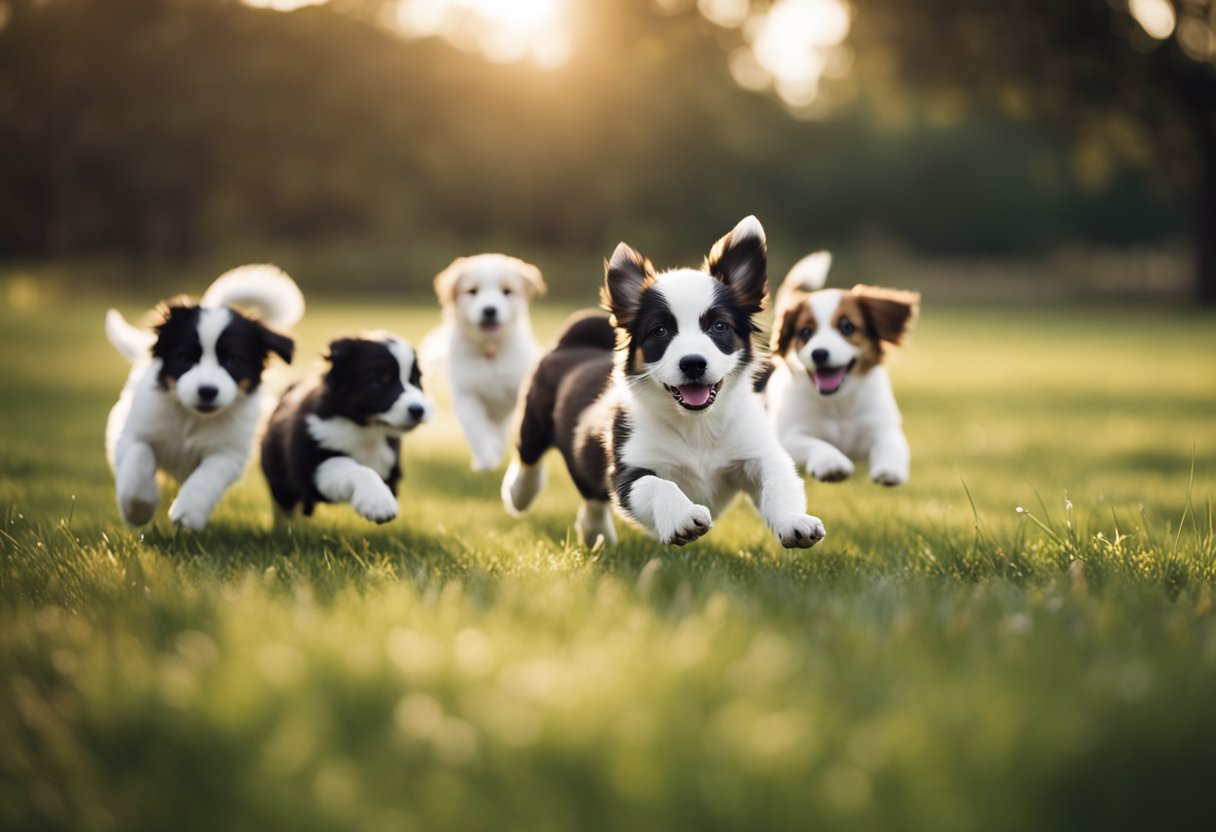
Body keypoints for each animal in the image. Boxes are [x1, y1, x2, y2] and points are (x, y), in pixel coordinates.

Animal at [105, 262, 302, 530]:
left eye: (233, 360)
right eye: (185, 358)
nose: (207, 391)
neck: (192, 418)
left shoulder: (228, 451)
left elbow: (207, 477)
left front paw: (188, 512)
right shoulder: (135, 431)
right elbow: (138, 458)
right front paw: (138, 508)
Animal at [263, 330, 435, 520]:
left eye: (415, 380)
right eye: (376, 383)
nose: (418, 410)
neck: (365, 429)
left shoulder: (391, 468)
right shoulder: (313, 468)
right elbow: (358, 469)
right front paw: (378, 502)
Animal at [423, 250, 547, 471]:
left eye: (507, 291)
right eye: (472, 291)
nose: (490, 310)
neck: (490, 352)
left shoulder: (519, 391)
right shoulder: (467, 395)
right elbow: (477, 430)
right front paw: (486, 459)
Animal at [500, 217, 826, 549]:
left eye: (720, 326)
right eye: (660, 331)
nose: (693, 363)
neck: (697, 426)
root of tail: (574, 340)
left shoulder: (755, 452)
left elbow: (778, 480)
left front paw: (793, 522)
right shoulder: (629, 468)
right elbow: (659, 486)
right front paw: (683, 518)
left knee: (591, 494)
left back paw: (595, 533)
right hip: (534, 419)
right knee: (529, 457)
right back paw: (518, 494)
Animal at [768, 253, 919, 486]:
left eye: (847, 327)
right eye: (805, 332)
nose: (819, 354)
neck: (837, 403)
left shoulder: (883, 428)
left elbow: (890, 446)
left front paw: (889, 470)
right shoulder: (788, 435)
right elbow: (815, 443)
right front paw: (831, 463)